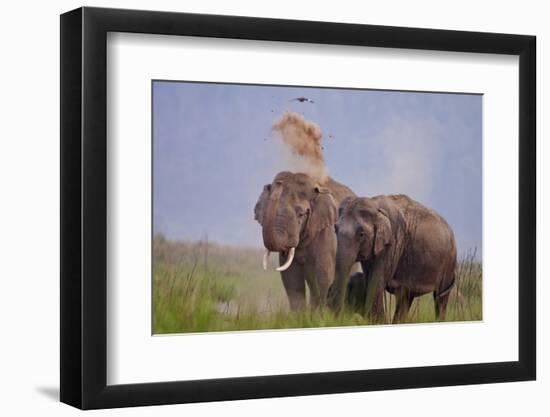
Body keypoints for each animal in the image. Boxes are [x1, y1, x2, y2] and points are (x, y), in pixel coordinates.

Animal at [256, 169, 356, 308]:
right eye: (265, 214)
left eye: (301, 214)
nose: (279, 183)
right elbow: (291, 280)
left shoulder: (327, 233)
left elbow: (324, 278)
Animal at [330, 193, 460, 324]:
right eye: (335, 229)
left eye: (361, 234)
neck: (375, 205)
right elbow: (370, 279)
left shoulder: (392, 243)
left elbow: (375, 282)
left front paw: (378, 322)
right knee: (406, 298)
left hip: (449, 260)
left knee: (440, 298)